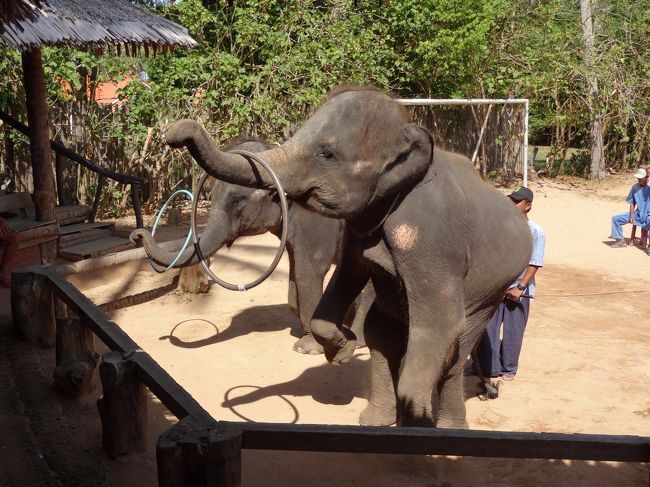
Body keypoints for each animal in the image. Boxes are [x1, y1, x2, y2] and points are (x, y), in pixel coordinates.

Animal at [130, 139, 370, 356]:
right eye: (211, 197)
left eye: (236, 201)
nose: (136, 235)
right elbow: (294, 283)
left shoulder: (317, 224)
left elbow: (308, 273)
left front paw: (307, 349)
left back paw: (358, 342)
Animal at [159, 86, 528, 428]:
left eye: (326, 153)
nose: (173, 132)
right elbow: (329, 282)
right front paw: (339, 350)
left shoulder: (427, 236)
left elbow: (313, 275)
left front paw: (309, 349)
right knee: (385, 333)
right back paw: (375, 414)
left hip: (491, 289)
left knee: (454, 349)